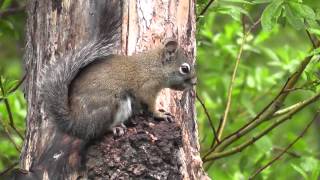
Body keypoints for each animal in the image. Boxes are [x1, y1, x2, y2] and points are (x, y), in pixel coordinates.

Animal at [38, 1, 196, 141]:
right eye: (184, 69)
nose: (194, 82)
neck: (156, 66)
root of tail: (76, 124)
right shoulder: (147, 87)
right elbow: (149, 103)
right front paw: (159, 114)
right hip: (111, 104)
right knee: (98, 130)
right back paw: (114, 127)